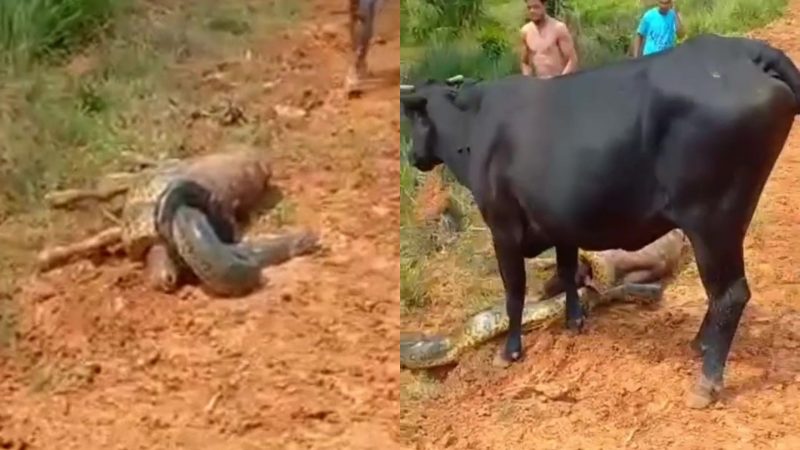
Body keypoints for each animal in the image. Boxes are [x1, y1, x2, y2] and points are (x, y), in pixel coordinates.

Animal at [399, 34, 800, 409]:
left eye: (415, 118)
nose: (412, 156)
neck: (472, 126)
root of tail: (744, 51)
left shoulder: (503, 227)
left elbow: (514, 294)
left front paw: (510, 351)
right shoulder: (560, 222)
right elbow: (566, 271)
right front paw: (574, 320)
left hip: (711, 221)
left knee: (730, 293)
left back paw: (707, 381)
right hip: (730, 220)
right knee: (721, 295)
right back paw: (699, 344)